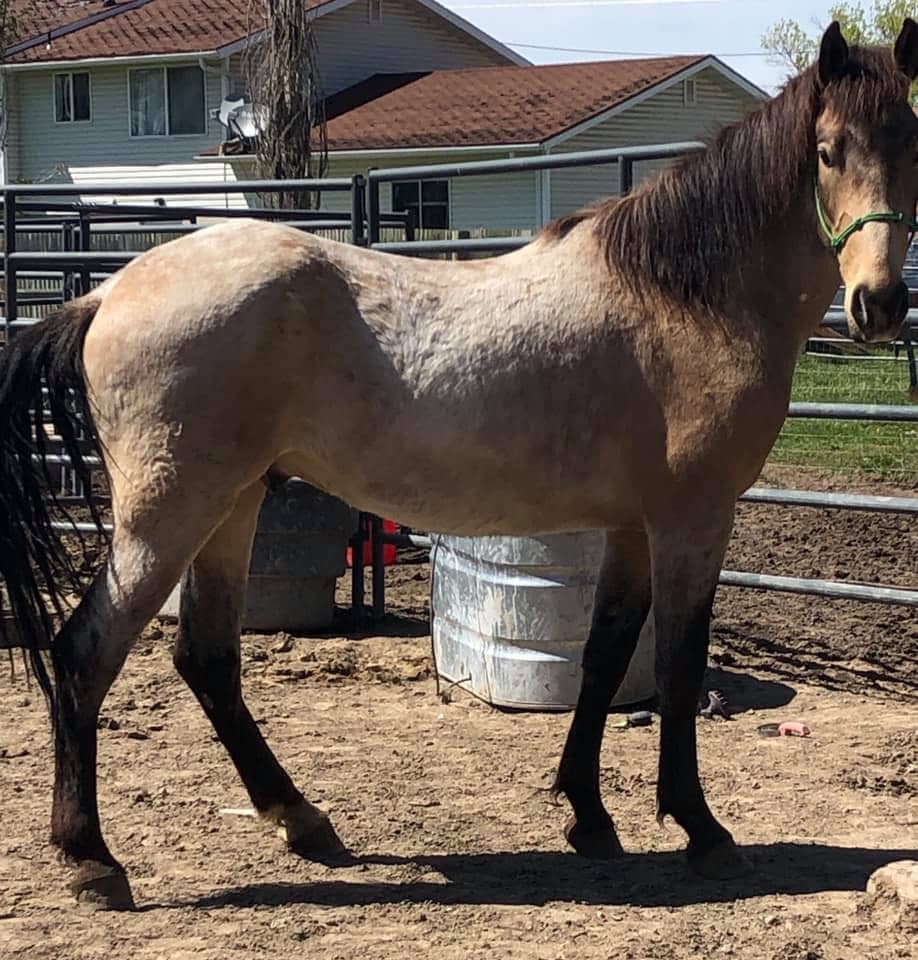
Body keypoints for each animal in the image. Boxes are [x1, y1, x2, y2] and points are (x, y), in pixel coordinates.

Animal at [0, 20, 916, 908]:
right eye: (827, 149)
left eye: (908, 139)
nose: (879, 305)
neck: (683, 299)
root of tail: (106, 294)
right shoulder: (693, 518)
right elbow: (680, 665)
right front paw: (701, 829)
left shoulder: (630, 525)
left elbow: (605, 654)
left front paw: (588, 816)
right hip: (169, 514)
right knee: (86, 652)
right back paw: (92, 861)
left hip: (232, 507)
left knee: (208, 660)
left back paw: (304, 822)